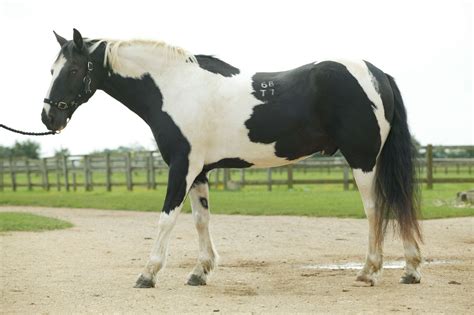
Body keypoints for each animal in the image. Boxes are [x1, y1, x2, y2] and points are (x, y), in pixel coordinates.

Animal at [41, 29, 422, 288]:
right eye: (51, 70)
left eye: (73, 70)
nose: (49, 118)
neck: (176, 87)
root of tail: (377, 74)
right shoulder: (198, 171)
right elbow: (201, 220)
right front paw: (200, 271)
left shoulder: (181, 166)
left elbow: (166, 219)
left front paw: (147, 274)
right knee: (395, 203)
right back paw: (411, 269)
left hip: (363, 160)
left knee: (376, 209)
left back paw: (369, 272)